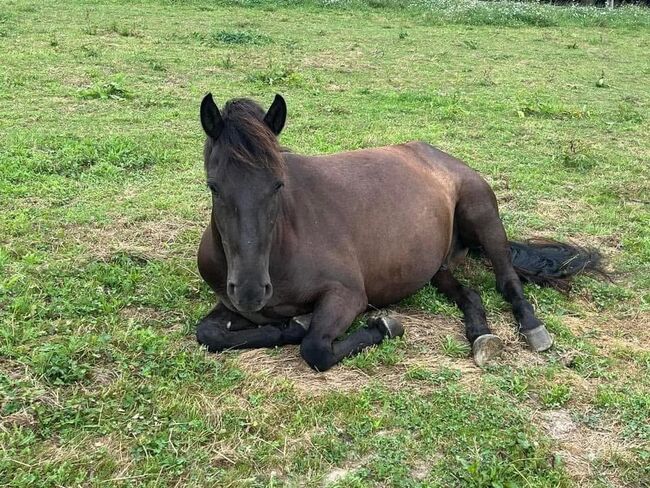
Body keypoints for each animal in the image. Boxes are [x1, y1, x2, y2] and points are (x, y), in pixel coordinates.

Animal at [195, 93, 600, 372]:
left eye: (278, 185)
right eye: (214, 187)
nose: (251, 291)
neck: (282, 242)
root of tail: (440, 156)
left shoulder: (347, 295)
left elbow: (316, 348)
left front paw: (384, 326)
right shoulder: (232, 305)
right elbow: (208, 334)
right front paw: (290, 325)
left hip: (483, 216)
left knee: (506, 279)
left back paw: (532, 327)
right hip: (437, 265)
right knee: (468, 293)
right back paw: (481, 335)